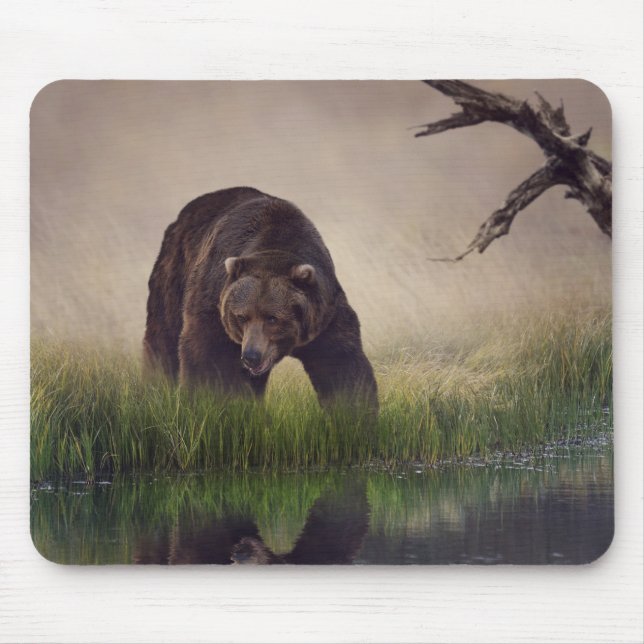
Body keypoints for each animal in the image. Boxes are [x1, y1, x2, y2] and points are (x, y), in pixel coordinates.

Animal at [143, 187, 378, 411]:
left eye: (272, 318)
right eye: (241, 316)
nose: (251, 355)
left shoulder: (324, 315)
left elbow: (342, 365)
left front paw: (352, 412)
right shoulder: (214, 303)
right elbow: (207, 357)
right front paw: (206, 402)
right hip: (174, 273)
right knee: (163, 336)